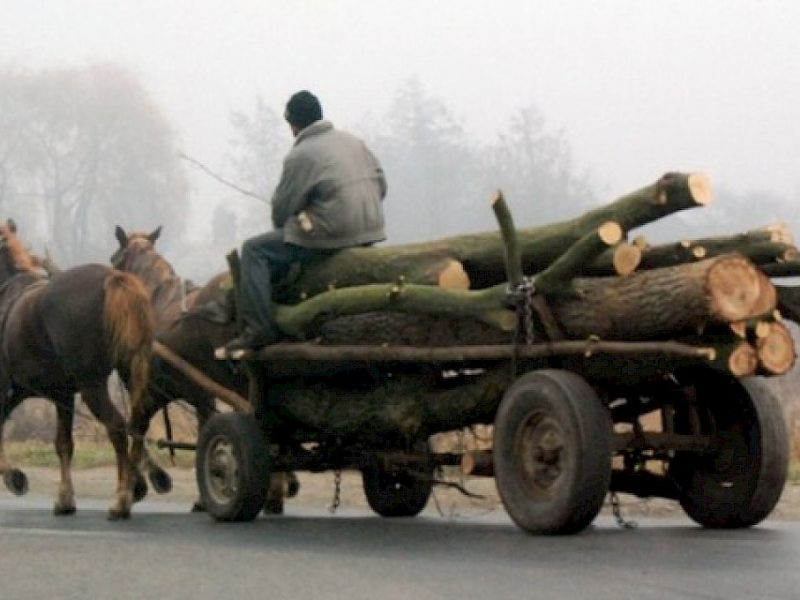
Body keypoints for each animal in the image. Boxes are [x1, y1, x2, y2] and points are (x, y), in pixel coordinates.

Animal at [0, 220, 155, 519]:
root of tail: (113, 279)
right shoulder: (59, 394)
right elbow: (64, 444)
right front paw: (64, 498)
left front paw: (14, 476)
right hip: (129, 374)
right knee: (137, 424)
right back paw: (134, 485)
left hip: (92, 385)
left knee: (116, 426)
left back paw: (122, 498)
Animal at [111, 226, 298, 512]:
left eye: (114, 261)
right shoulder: (202, 396)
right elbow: (199, 435)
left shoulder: (150, 392)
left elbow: (136, 432)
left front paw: (137, 487)